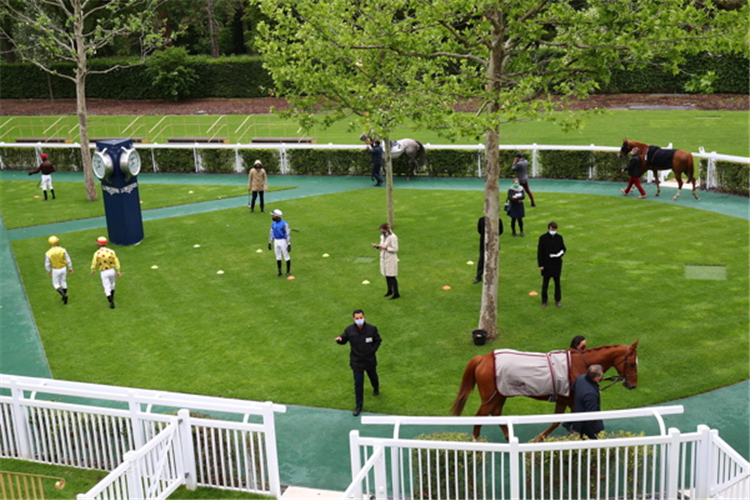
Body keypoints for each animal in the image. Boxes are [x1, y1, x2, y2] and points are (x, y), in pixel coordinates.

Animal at [452, 340, 640, 442]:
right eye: (632, 363)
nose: (633, 385)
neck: (580, 364)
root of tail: (483, 358)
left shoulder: (564, 400)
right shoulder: (568, 398)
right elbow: (559, 420)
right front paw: (539, 438)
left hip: (500, 394)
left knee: (496, 413)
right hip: (491, 396)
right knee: (480, 416)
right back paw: (477, 440)